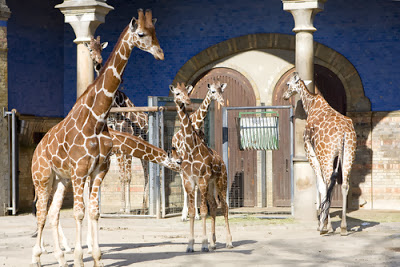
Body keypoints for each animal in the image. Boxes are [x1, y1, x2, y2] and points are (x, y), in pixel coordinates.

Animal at [29, 9, 164, 266]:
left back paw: (60, 257)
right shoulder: (80, 171)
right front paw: (80, 258)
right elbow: (79, 213)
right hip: (42, 178)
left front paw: (96, 257)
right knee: (40, 214)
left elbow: (94, 211)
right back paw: (37, 257)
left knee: (52, 213)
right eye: (141, 34)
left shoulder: (99, 170)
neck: (98, 118)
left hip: (60, 180)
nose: (160, 53)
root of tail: (37, 150)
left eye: (155, 31)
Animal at [168, 83, 231, 253]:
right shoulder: (190, 180)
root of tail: (222, 162)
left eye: (187, 92)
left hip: (220, 182)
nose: (187, 101)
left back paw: (228, 242)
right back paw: (214, 243)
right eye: (177, 93)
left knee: (224, 207)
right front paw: (190, 244)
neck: (191, 147)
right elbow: (192, 211)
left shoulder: (201, 180)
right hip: (210, 185)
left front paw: (203, 243)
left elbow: (203, 211)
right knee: (214, 206)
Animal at [282, 72, 356, 236]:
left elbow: (321, 185)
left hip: (326, 156)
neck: (311, 106)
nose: (284, 96)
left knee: (328, 183)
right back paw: (343, 227)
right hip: (349, 153)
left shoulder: (310, 151)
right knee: (344, 184)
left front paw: (323, 224)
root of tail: (343, 132)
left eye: (288, 84)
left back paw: (325, 227)